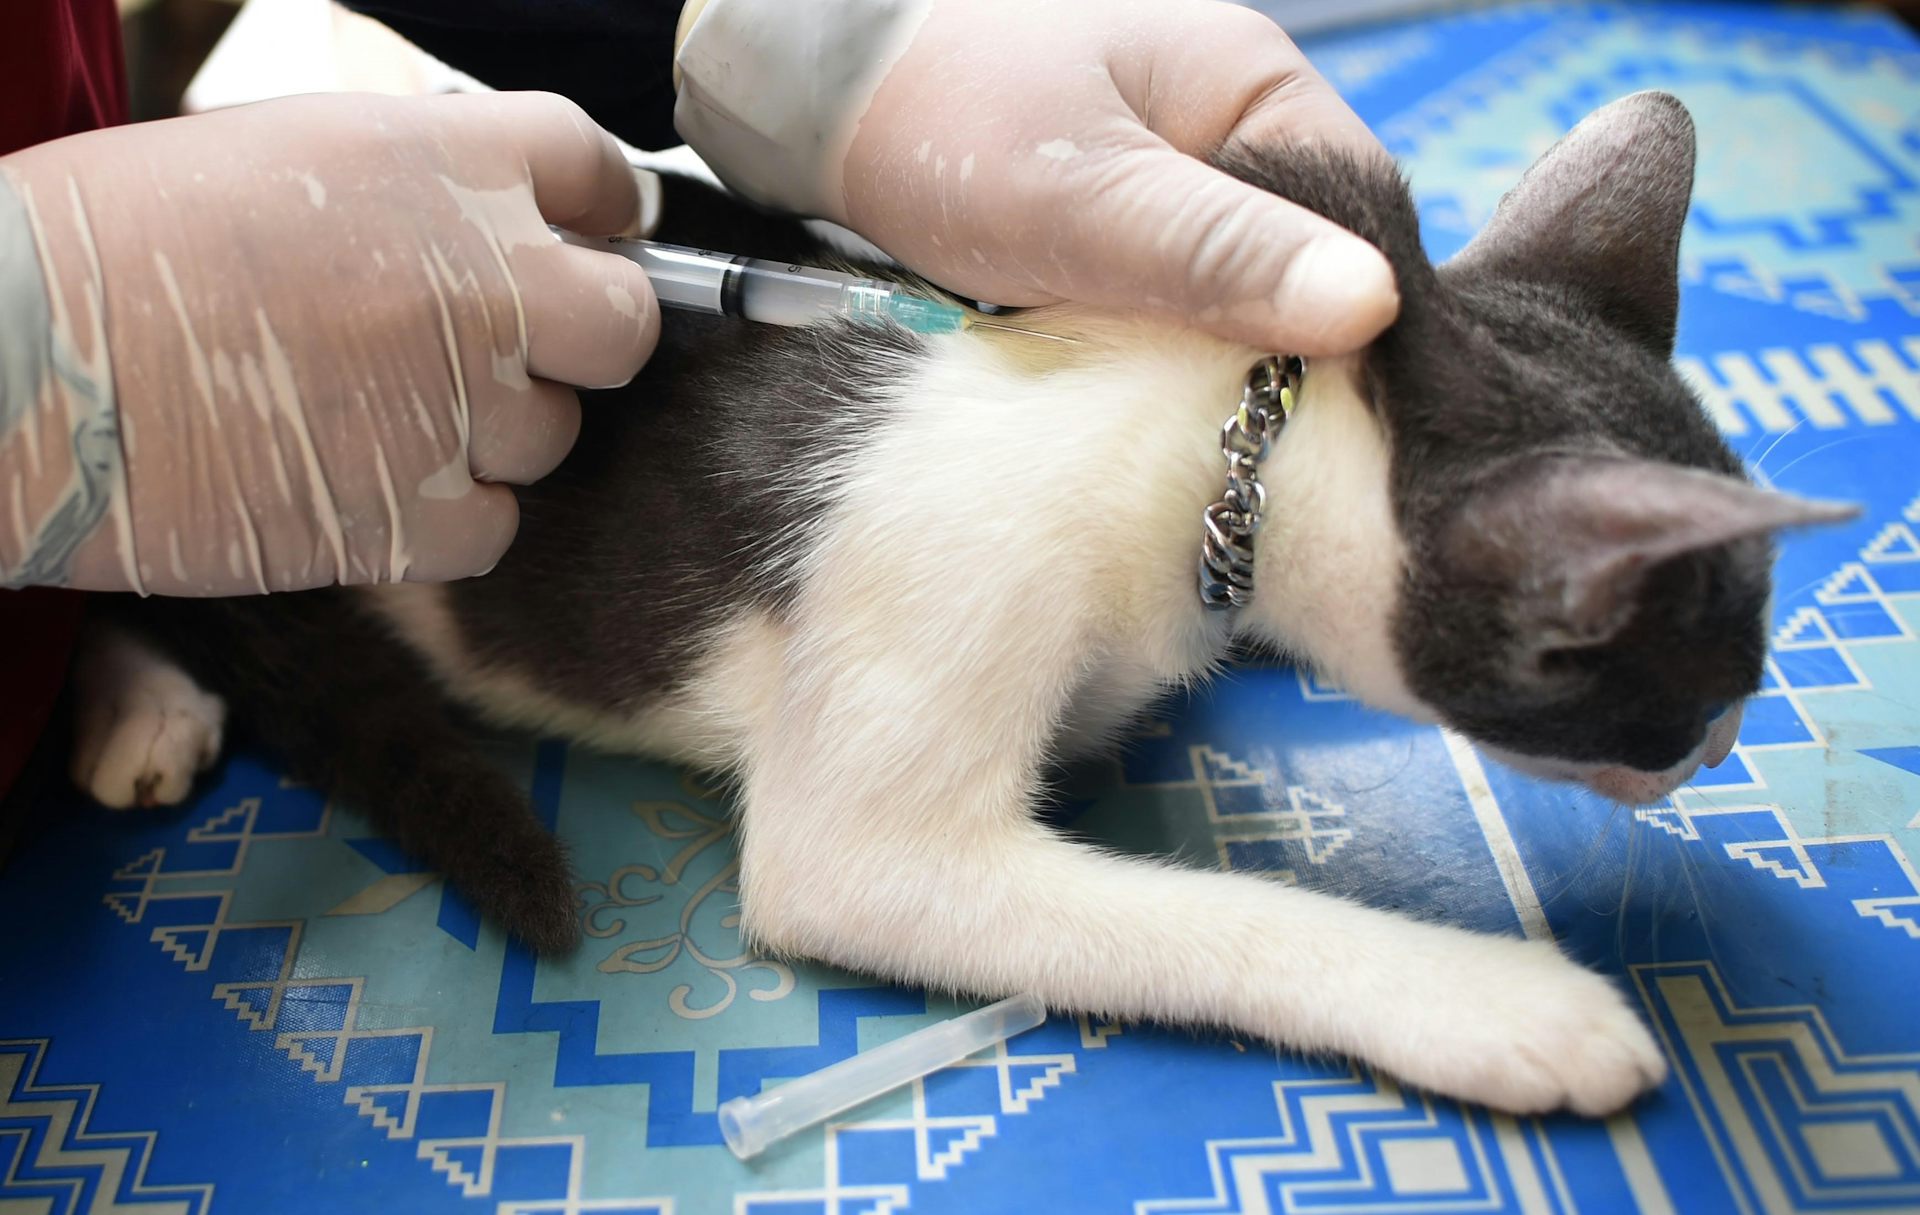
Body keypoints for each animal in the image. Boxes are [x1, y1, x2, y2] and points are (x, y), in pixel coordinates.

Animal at [78, 92, 1858, 1120]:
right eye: (1706, 681)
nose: (1723, 748)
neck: (1226, 425)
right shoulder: (928, 655)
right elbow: (1200, 919)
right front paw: (1499, 1000)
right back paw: (143, 697)